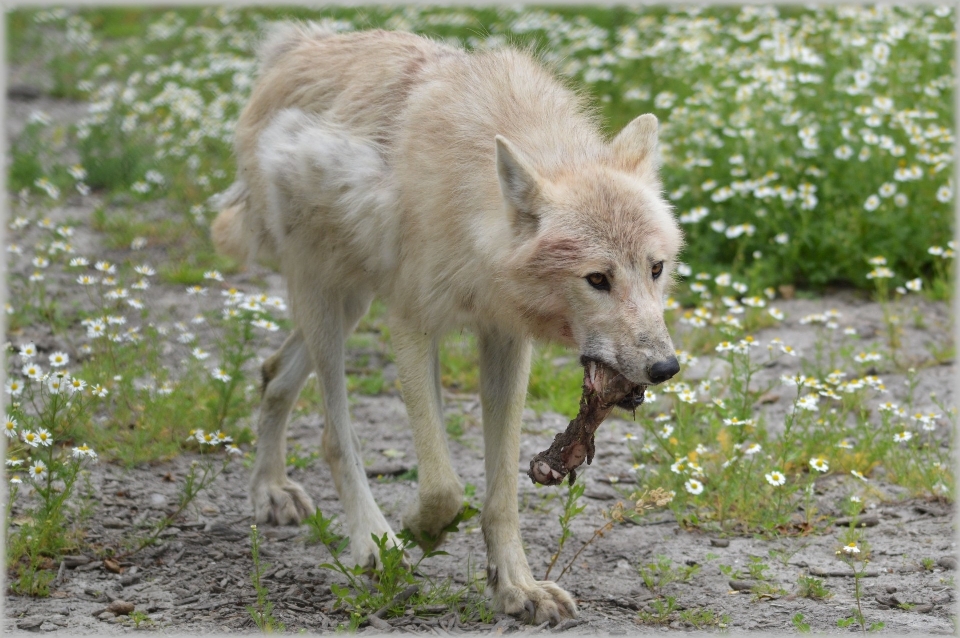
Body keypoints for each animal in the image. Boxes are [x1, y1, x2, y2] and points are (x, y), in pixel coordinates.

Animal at [213, 23, 684, 624]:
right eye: (597, 279)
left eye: (656, 269)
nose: (665, 367)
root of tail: (294, 45)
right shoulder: (411, 324)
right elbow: (443, 485)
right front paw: (421, 531)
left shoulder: (505, 340)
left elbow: (501, 492)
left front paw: (517, 587)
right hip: (328, 297)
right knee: (335, 435)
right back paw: (371, 541)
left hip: (351, 303)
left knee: (274, 373)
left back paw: (270, 491)